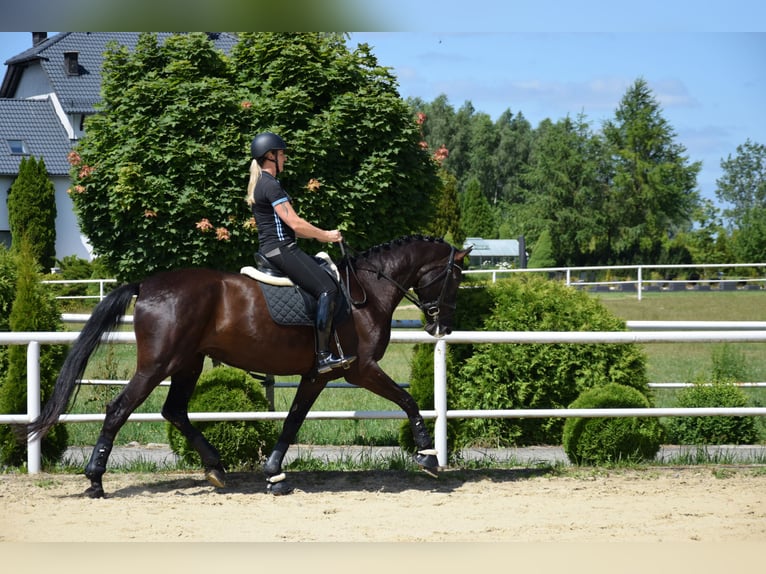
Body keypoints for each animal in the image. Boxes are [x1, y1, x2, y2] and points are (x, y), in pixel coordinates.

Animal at [25, 236, 474, 498]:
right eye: (455, 276)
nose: (442, 326)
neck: (365, 291)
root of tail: (146, 285)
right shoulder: (358, 369)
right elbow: (408, 401)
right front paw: (427, 456)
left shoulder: (319, 375)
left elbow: (293, 421)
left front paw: (274, 473)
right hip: (157, 364)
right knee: (118, 409)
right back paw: (95, 479)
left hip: (188, 363)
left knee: (174, 410)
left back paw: (215, 467)